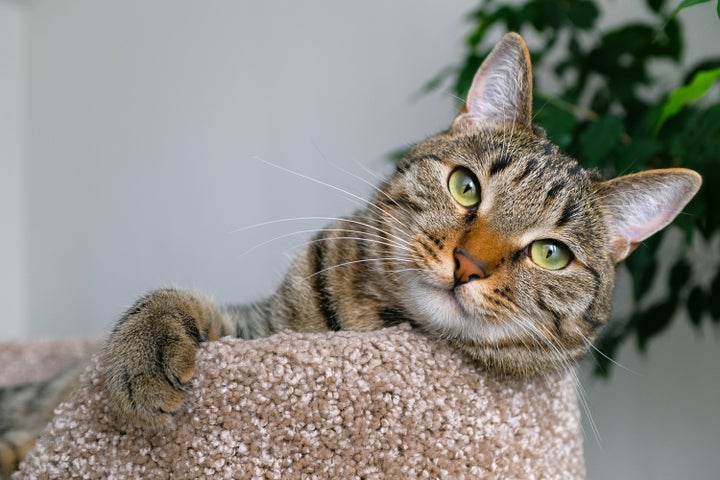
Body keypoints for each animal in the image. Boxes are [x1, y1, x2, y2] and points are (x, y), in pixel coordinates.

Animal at [0, 31, 700, 478]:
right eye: (465, 186)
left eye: (551, 254)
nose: (469, 264)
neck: (376, 324)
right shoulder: (258, 330)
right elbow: (170, 300)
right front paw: (141, 353)